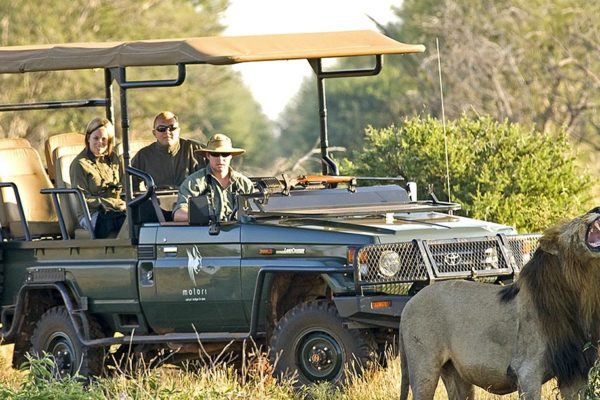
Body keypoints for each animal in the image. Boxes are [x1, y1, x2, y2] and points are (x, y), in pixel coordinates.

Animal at [398, 208, 600, 398]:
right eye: (581, 217)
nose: (596, 209)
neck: (580, 293)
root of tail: (408, 305)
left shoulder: (574, 371)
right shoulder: (527, 371)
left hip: (455, 373)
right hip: (424, 366)